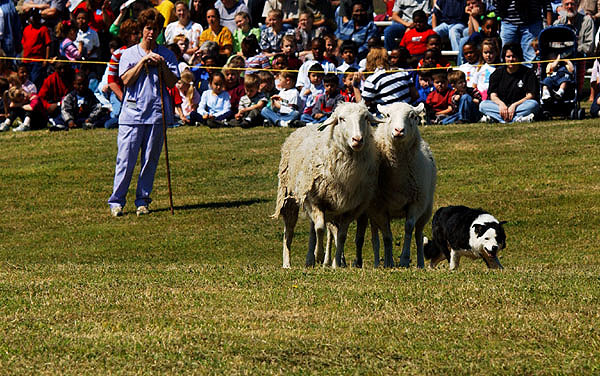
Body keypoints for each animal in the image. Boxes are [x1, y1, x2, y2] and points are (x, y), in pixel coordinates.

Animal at [274, 102, 380, 268]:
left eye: (365, 118)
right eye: (341, 119)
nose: (357, 139)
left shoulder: (349, 207)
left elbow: (341, 236)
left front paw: (336, 263)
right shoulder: (315, 200)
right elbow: (320, 228)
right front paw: (319, 255)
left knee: (315, 229)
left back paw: (311, 260)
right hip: (289, 196)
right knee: (289, 231)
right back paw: (288, 263)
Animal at [354, 101, 438, 268]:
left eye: (412, 116)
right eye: (387, 115)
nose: (399, 131)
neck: (398, 176)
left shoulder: (416, 202)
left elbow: (409, 228)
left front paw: (404, 259)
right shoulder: (378, 207)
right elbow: (387, 236)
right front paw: (389, 262)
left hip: (426, 208)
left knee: (419, 235)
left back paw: (420, 263)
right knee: (376, 237)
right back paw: (379, 263)